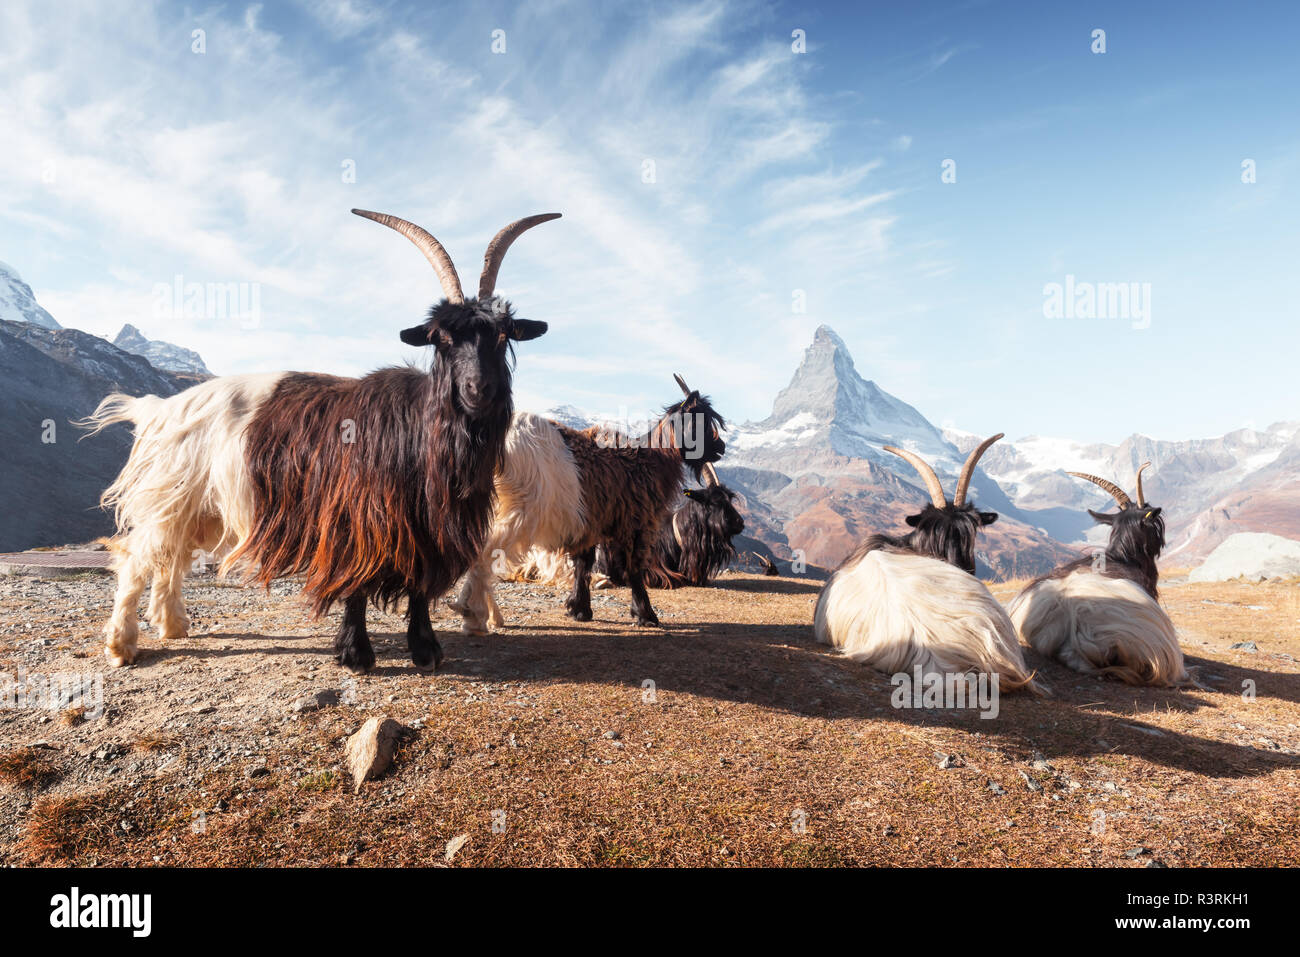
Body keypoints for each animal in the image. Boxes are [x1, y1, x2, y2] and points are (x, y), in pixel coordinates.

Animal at [81, 209, 559, 670]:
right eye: (441, 337)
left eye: (502, 335)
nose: (479, 390)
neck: (422, 432)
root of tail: (159, 410)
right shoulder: (356, 517)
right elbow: (357, 585)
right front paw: (356, 654)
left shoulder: (424, 527)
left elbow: (419, 585)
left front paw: (425, 650)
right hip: (170, 497)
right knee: (136, 560)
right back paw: (122, 644)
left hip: (198, 508)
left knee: (171, 560)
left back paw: (172, 625)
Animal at [452, 374, 728, 634]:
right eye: (701, 421)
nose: (721, 447)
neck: (651, 460)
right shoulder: (635, 522)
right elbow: (634, 568)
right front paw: (646, 615)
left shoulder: (591, 521)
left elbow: (582, 564)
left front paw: (579, 609)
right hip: (520, 509)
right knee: (486, 553)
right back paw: (473, 614)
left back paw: (488, 615)